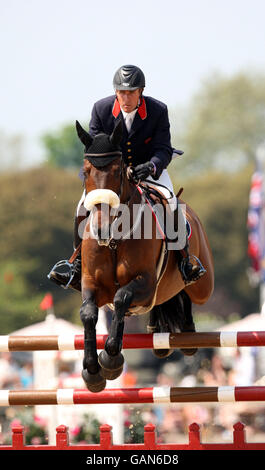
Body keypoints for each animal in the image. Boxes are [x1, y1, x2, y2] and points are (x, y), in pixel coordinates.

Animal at [75, 119, 214, 392]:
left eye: (118, 172)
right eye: (85, 172)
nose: (101, 229)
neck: (115, 240)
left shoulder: (145, 283)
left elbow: (121, 297)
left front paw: (110, 360)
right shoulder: (92, 283)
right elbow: (88, 313)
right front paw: (92, 371)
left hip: (203, 287)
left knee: (189, 292)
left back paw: (188, 332)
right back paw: (156, 331)